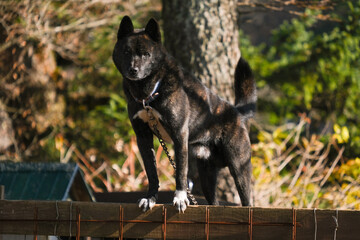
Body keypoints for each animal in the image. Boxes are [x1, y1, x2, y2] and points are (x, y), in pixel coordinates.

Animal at [112, 16, 256, 212]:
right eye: (126, 52)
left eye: (146, 54)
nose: (133, 70)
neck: (148, 93)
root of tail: (236, 112)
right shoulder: (143, 138)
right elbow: (152, 173)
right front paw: (150, 198)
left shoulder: (179, 134)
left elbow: (180, 171)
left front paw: (180, 198)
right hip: (207, 177)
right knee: (214, 203)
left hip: (239, 168)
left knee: (247, 200)